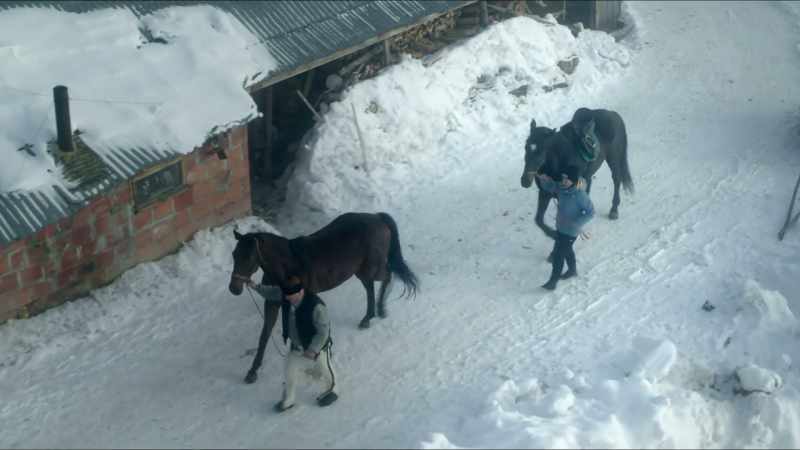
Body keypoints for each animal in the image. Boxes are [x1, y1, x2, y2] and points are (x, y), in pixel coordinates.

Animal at [229, 211, 419, 384]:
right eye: (234, 254)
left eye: (249, 257)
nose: (234, 288)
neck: (288, 265)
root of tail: (377, 217)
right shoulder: (272, 303)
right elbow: (264, 336)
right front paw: (252, 371)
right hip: (362, 271)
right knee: (371, 287)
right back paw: (368, 317)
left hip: (372, 267)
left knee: (388, 275)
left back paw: (381, 309)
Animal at [520, 107, 634, 242]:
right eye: (526, 146)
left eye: (542, 150)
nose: (525, 181)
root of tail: (613, 114)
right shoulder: (545, 193)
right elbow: (539, 220)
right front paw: (554, 235)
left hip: (614, 158)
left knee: (616, 180)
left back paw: (614, 210)